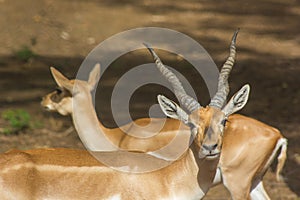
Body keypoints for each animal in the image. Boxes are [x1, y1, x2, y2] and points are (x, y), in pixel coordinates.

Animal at [42, 30, 288, 199]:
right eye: (191, 124)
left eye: (224, 120)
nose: (45, 101)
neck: (116, 136)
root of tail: (276, 134)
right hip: (254, 183)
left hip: (237, 183)